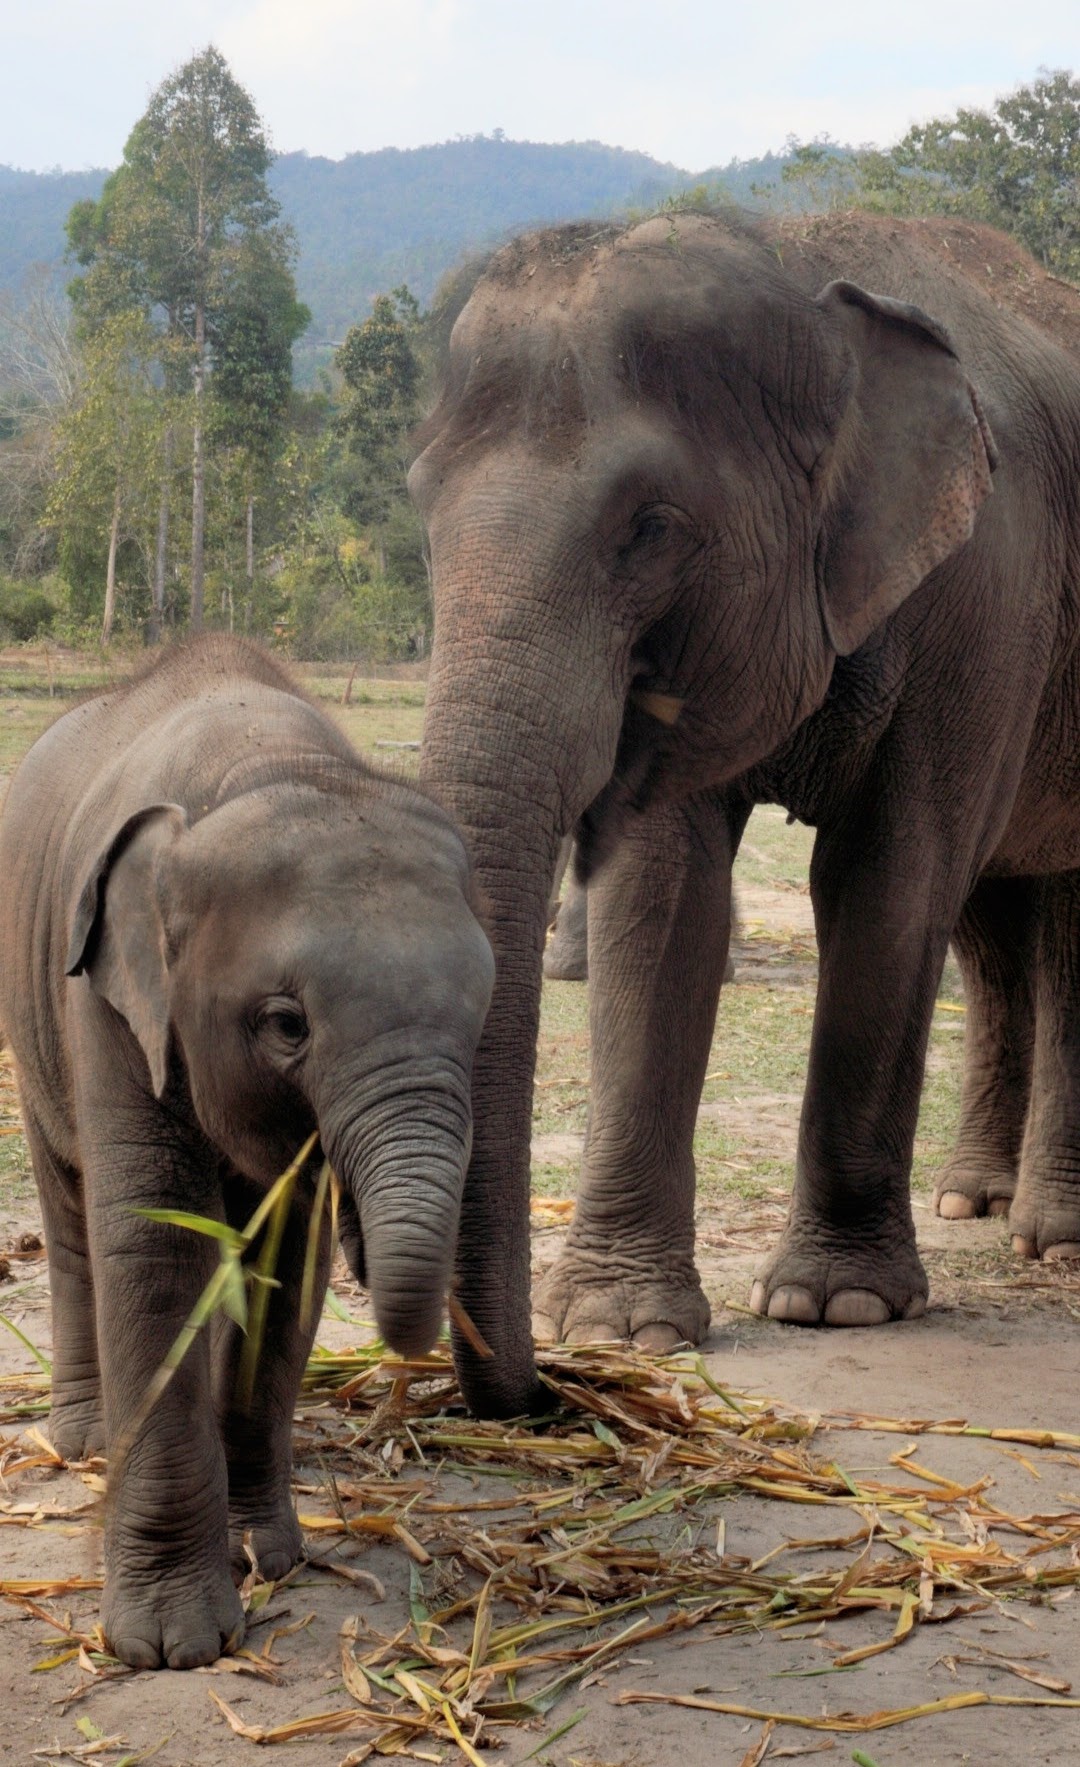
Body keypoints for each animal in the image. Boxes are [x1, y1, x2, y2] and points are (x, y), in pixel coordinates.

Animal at [0, 635, 493, 1669]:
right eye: (285, 1024)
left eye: (481, 1014)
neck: (267, 765)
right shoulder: (106, 1000)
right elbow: (156, 1253)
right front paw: (171, 1646)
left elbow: (283, 1269)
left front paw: (269, 1554)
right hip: (28, 1015)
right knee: (70, 1213)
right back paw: (85, 1441)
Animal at [411, 206, 1080, 1419]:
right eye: (421, 515)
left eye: (652, 526)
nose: (532, 1391)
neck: (797, 261)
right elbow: (662, 892)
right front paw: (621, 1325)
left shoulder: (989, 588)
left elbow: (888, 876)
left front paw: (837, 1303)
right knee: (997, 919)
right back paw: (976, 1201)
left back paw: (1052, 1237)